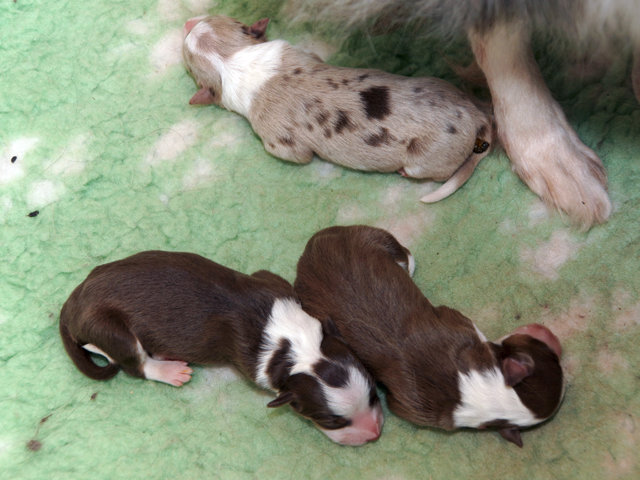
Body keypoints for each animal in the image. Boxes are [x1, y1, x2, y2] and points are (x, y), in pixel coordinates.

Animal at [59, 250, 383, 446]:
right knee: (131, 361)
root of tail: (74, 301)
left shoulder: (271, 280)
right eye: (330, 421)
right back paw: (168, 369)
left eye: (372, 393)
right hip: (110, 328)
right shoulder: (254, 363)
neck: (295, 345)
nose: (375, 433)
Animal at [182, 15, 494, 203]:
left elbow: (296, 155)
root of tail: (477, 115)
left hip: (427, 160)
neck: (231, 60)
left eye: (185, 57)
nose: (187, 23)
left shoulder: (278, 140)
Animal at [293, 226, 564, 446]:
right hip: (369, 240)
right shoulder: (457, 322)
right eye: (544, 351)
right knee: (404, 254)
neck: (485, 392)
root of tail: (310, 249)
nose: (552, 336)